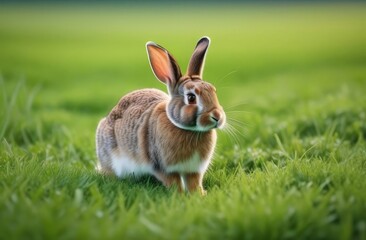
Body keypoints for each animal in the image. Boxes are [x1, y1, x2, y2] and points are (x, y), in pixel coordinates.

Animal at [96, 37, 224, 195]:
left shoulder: (193, 170)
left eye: (213, 91)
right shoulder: (163, 168)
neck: (190, 130)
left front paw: (199, 195)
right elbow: (174, 182)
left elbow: (194, 183)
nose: (217, 116)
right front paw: (179, 195)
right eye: (191, 97)